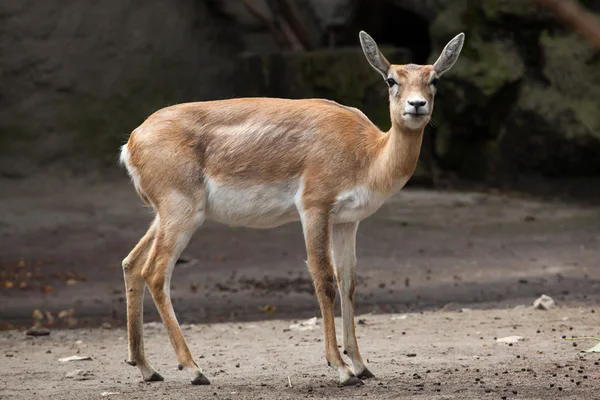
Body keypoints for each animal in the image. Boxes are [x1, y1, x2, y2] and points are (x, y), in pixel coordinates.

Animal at [118, 29, 464, 386]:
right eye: (391, 79)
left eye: (434, 79)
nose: (417, 105)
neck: (368, 153)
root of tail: (132, 140)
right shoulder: (314, 207)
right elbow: (324, 280)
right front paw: (341, 368)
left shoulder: (347, 221)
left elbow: (348, 283)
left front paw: (361, 365)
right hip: (181, 213)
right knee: (155, 272)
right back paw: (194, 369)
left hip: (165, 215)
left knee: (132, 263)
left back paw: (146, 367)